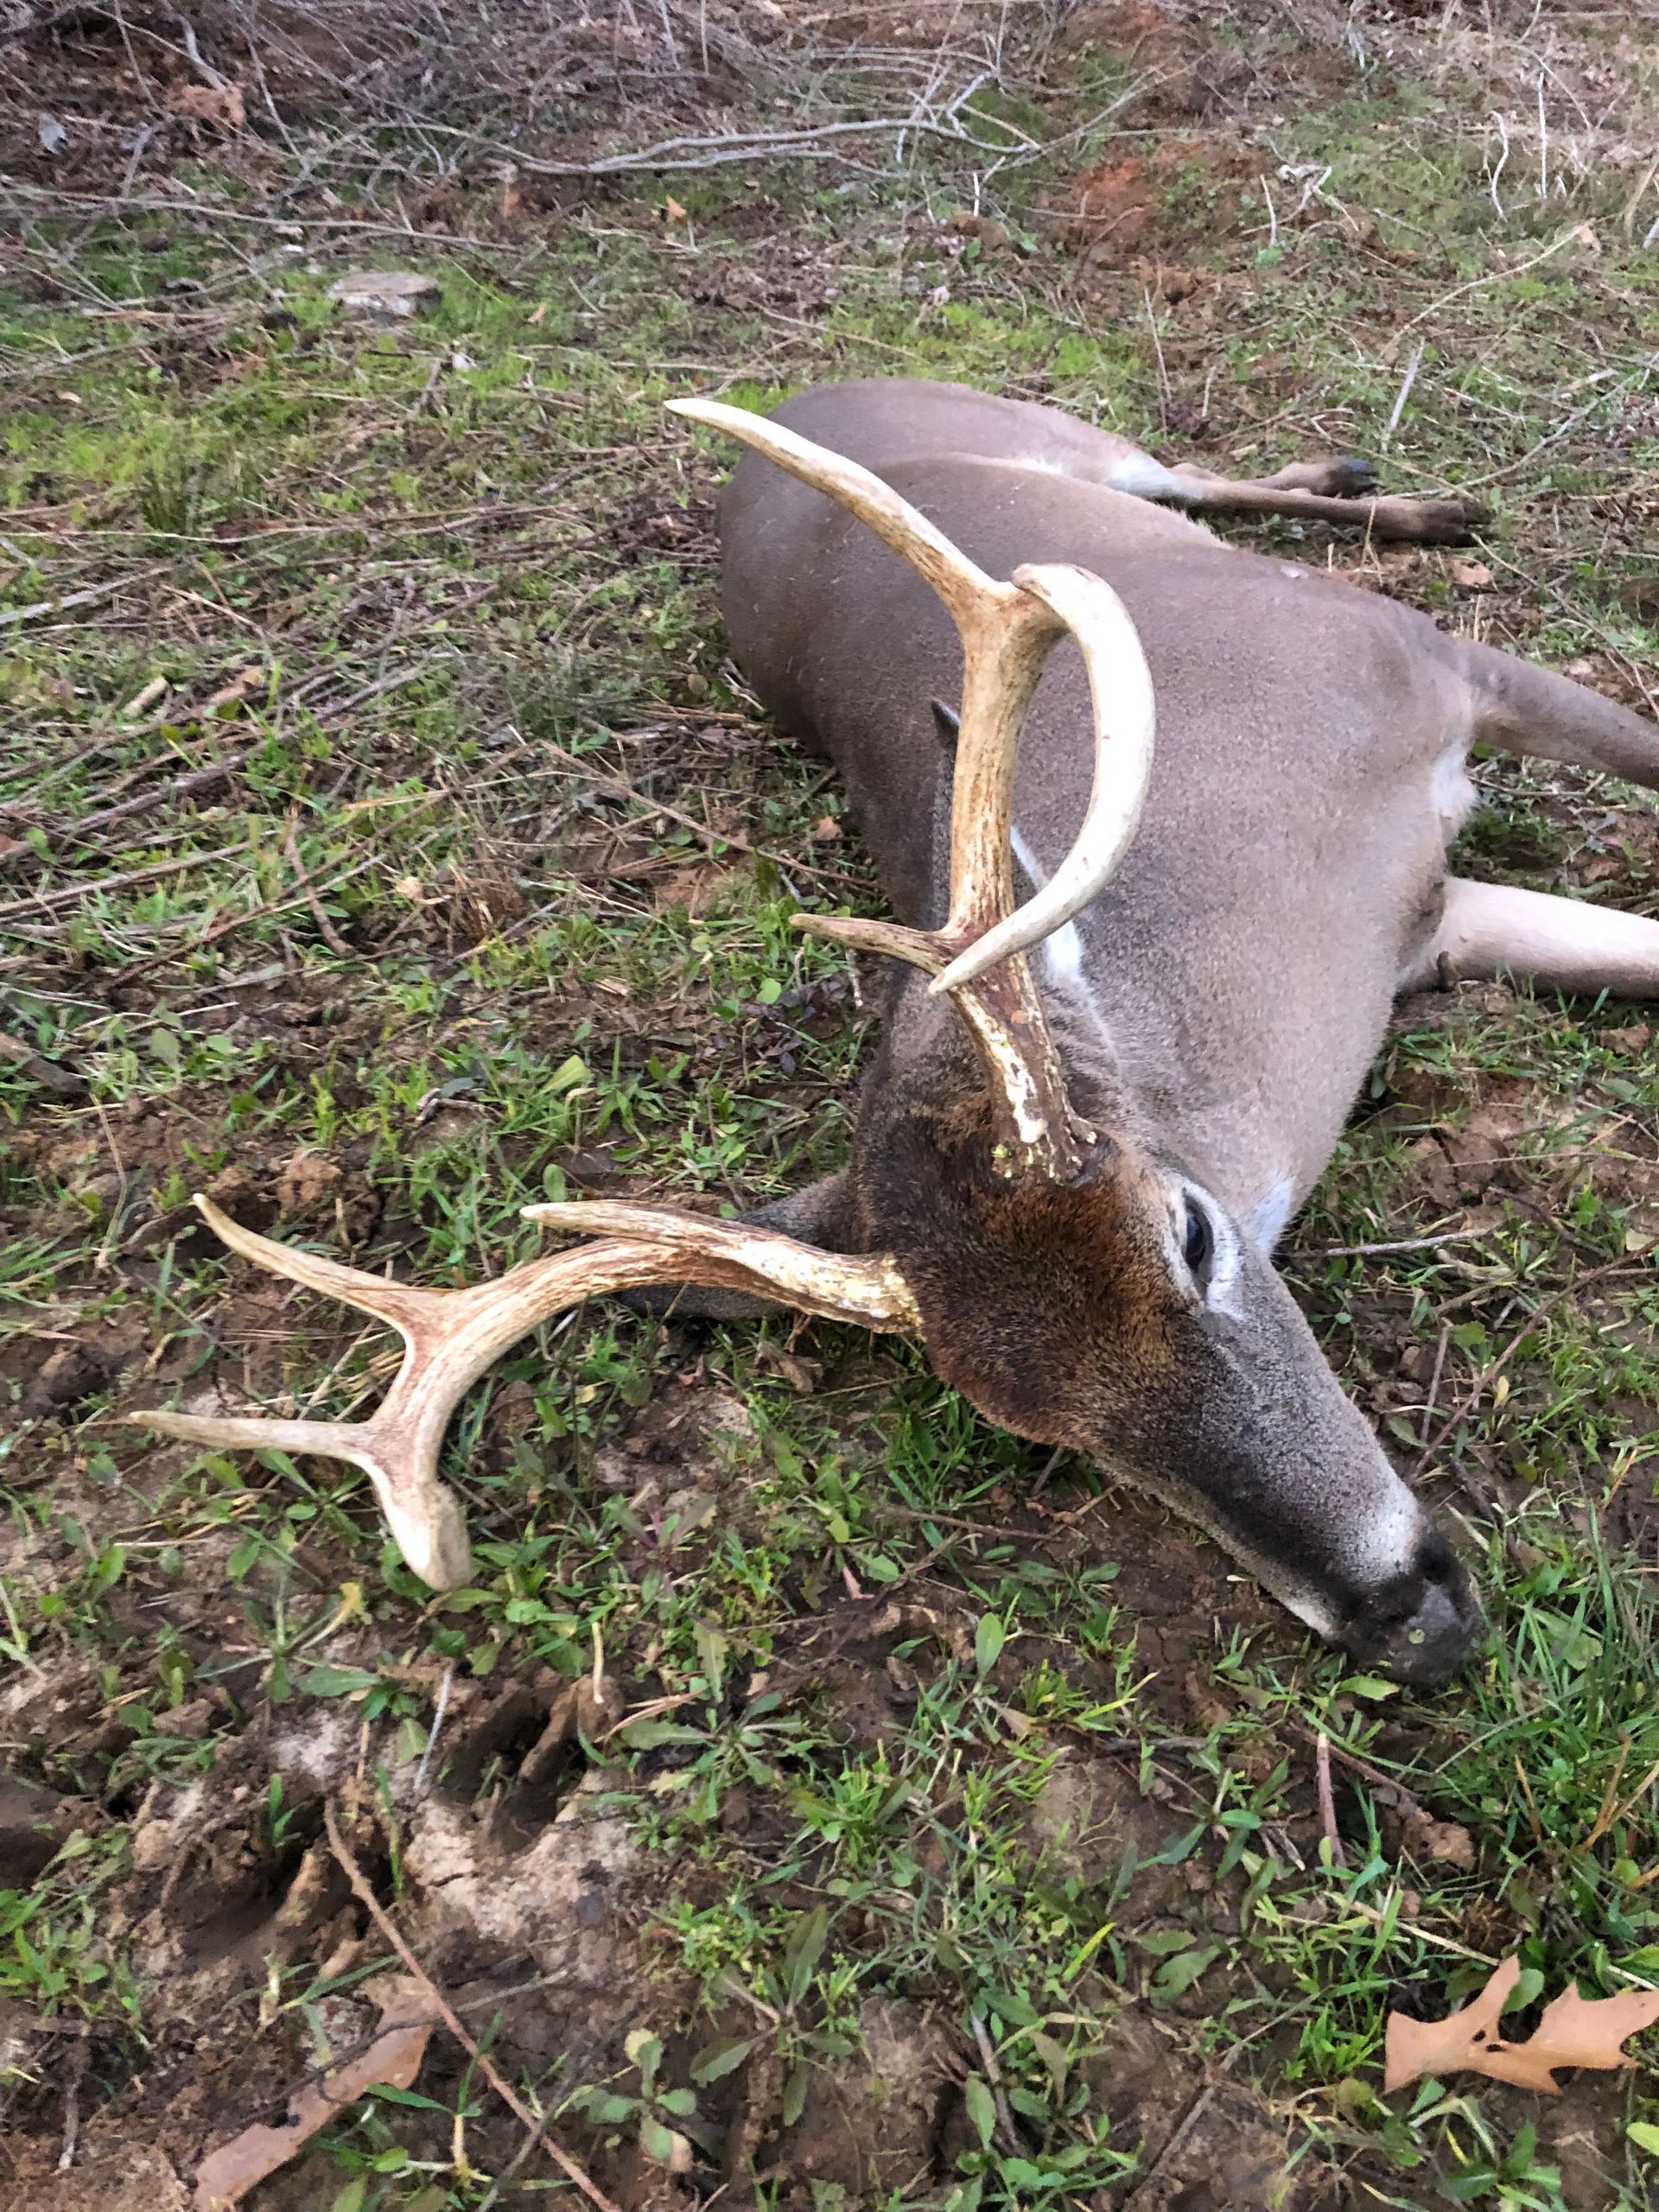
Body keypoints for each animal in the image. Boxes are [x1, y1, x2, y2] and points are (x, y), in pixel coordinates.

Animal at [132, 377, 1659, 1689]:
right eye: (1052, 1439)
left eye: (1191, 1234)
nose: (1410, 1623)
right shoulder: (1435, 921)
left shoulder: (1428, 664)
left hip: (1074, 440)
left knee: (1190, 473)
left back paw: (1406, 496)